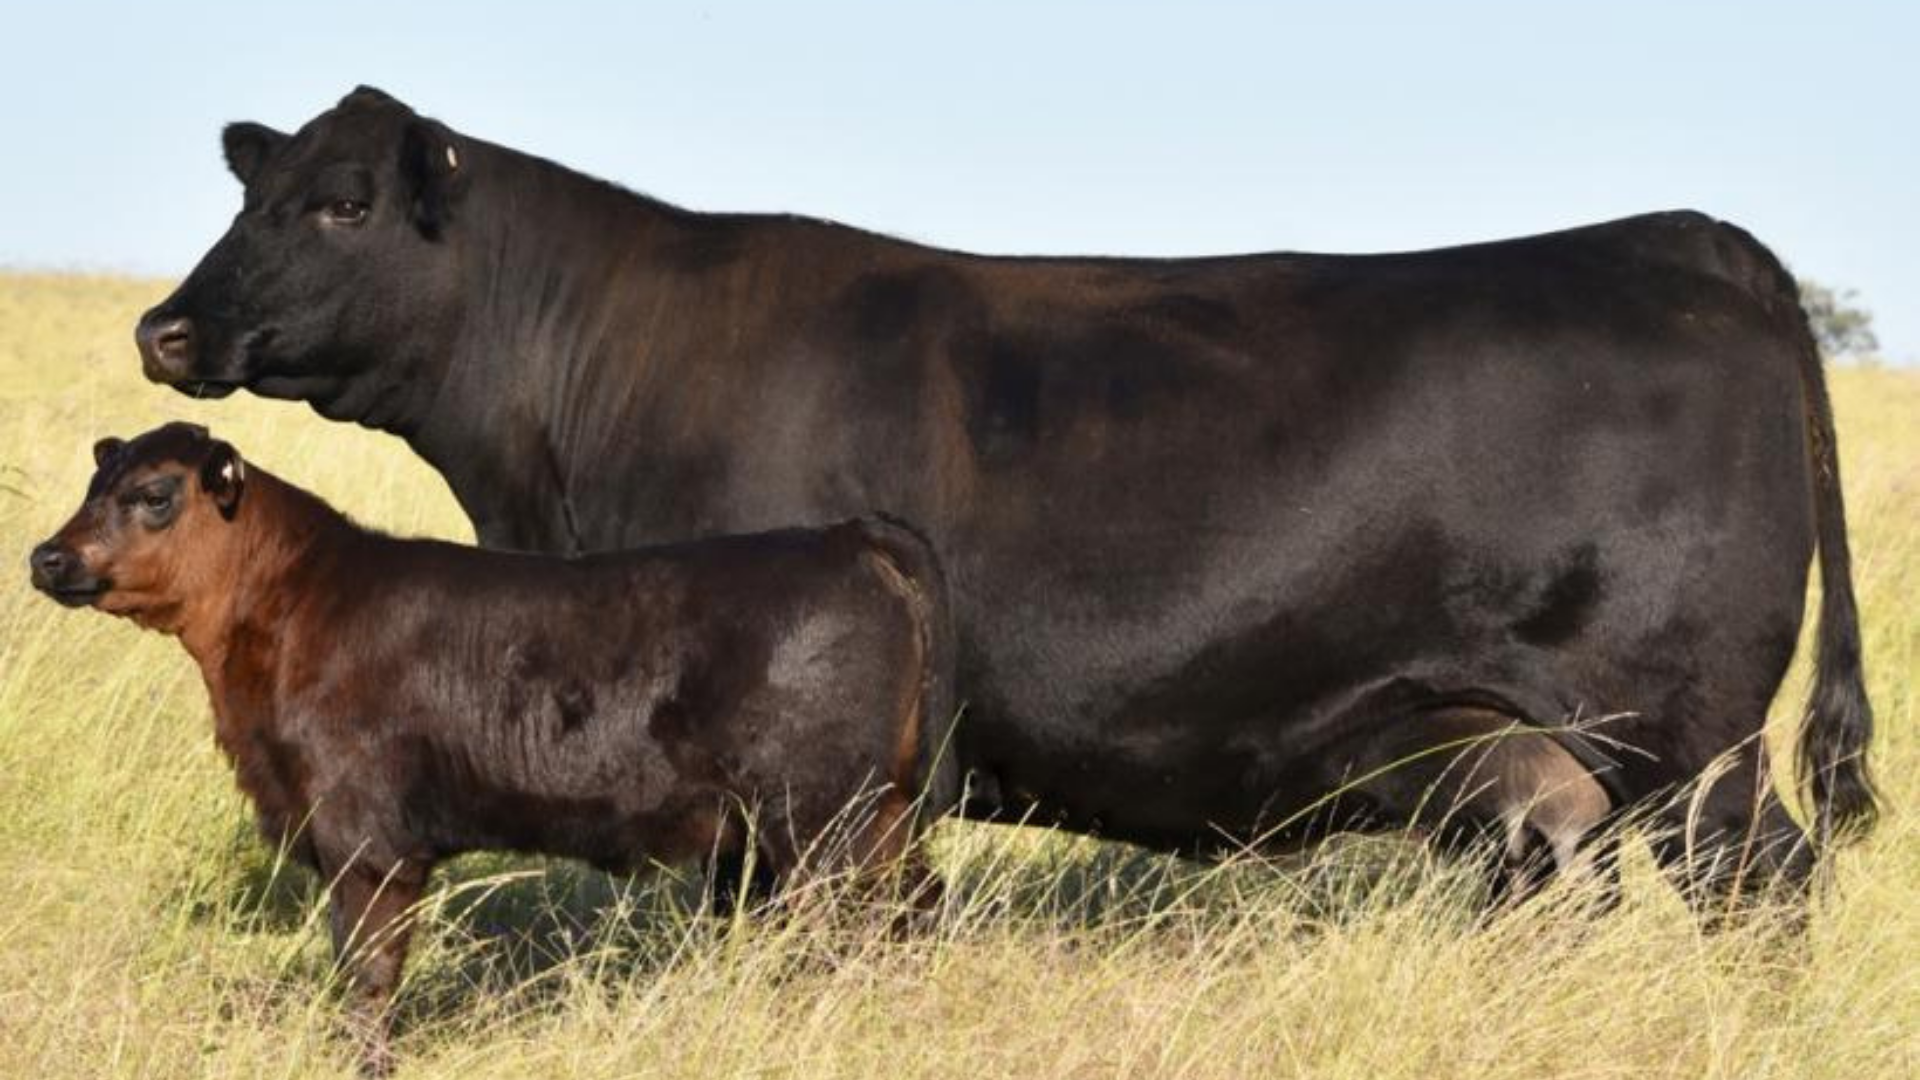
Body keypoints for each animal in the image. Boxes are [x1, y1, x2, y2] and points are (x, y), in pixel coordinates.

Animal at [29, 421, 957, 1071]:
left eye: (155, 494)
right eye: (95, 480)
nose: (47, 557)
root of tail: (848, 537)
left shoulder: (367, 841)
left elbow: (367, 973)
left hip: (823, 820)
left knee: (853, 934)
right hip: (880, 814)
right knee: (912, 914)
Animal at [136, 86, 1877, 917]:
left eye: (342, 203)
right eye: (249, 188)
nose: (167, 329)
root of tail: (1683, 237)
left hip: (1680, 729)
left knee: (1764, 884)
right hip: (1536, 753)